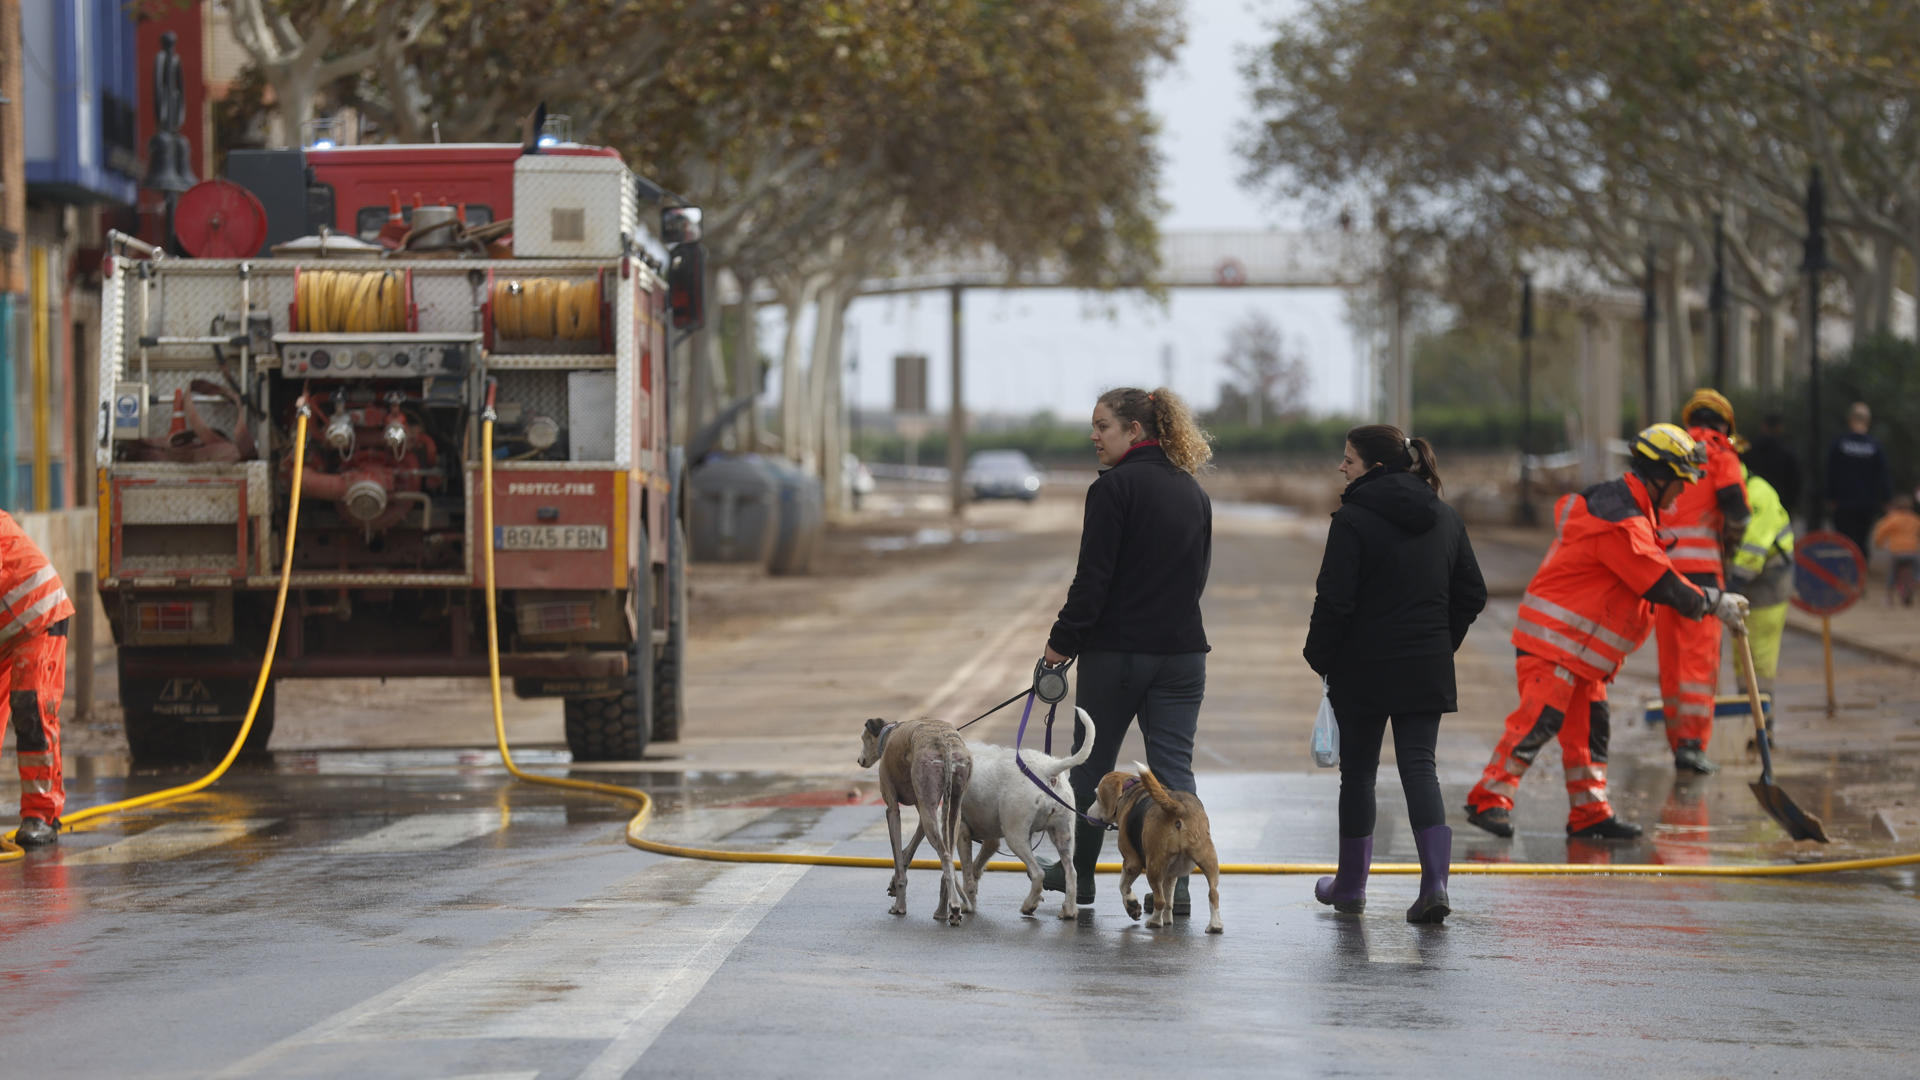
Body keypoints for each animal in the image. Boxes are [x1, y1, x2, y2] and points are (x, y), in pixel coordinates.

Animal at [860, 718, 975, 922]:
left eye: (863, 738)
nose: (860, 760)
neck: (889, 733)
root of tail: (945, 744)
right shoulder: (922, 811)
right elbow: (907, 852)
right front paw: (893, 884)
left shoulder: (892, 809)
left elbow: (898, 858)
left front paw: (899, 905)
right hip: (951, 808)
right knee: (949, 854)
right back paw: (942, 911)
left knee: (945, 855)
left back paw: (953, 907)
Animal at [1090, 760, 1221, 930]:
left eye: (1097, 796)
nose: (1087, 812)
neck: (1131, 788)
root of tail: (1178, 807)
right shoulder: (1171, 874)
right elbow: (1170, 899)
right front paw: (1168, 919)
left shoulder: (1131, 862)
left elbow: (1123, 886)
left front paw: (1132, 905)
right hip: (1208, 858)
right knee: (1213, 894)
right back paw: (1215, 925)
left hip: (1153, 867)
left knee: (1159, 901)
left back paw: (1154, 921)